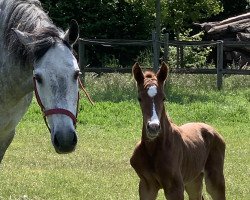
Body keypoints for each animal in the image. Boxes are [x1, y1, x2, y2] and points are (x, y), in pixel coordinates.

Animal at [130, 61, 226, 199]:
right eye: (139, 98)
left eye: (163, 98)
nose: (153, 127)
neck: (154, 149)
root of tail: (213, 130)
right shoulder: (146, 186)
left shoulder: (175, 187)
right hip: (193, 180)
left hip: (215, 179)